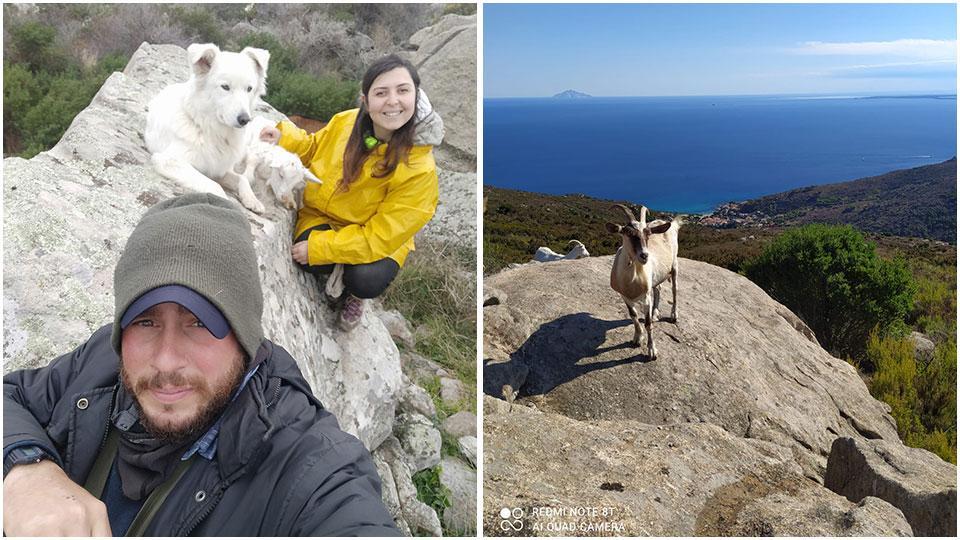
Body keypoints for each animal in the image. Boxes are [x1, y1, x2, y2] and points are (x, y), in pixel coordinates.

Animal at [605, 204, 681, 359]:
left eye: (648, 234)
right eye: (627, 232)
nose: (644, 255)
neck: (631, 281)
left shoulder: (646, 297)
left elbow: (647, 323)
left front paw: (652, 351)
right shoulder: (624, 296)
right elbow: (633, 316)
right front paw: (637, 338)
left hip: (674, 264)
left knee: (674, 290)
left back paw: (673, 316)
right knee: (658, 289)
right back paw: (656, 313)